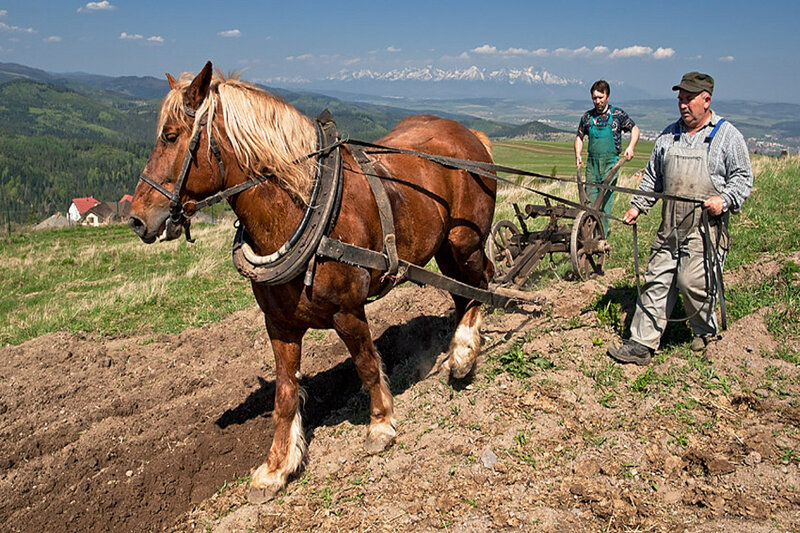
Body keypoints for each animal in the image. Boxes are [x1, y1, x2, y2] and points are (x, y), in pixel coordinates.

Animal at [128, 62, 497, 503]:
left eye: (170, 136)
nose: (136, 219)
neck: (305, 208)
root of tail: (469, 134)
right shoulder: (280, 325)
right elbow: (285, 394)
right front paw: (276, 467)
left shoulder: (348, 312)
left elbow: (366, 365)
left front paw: (380, 425)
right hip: (445, 247)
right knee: (463, 294)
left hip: (464, 243)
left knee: (482, 285)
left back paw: (463, 354)